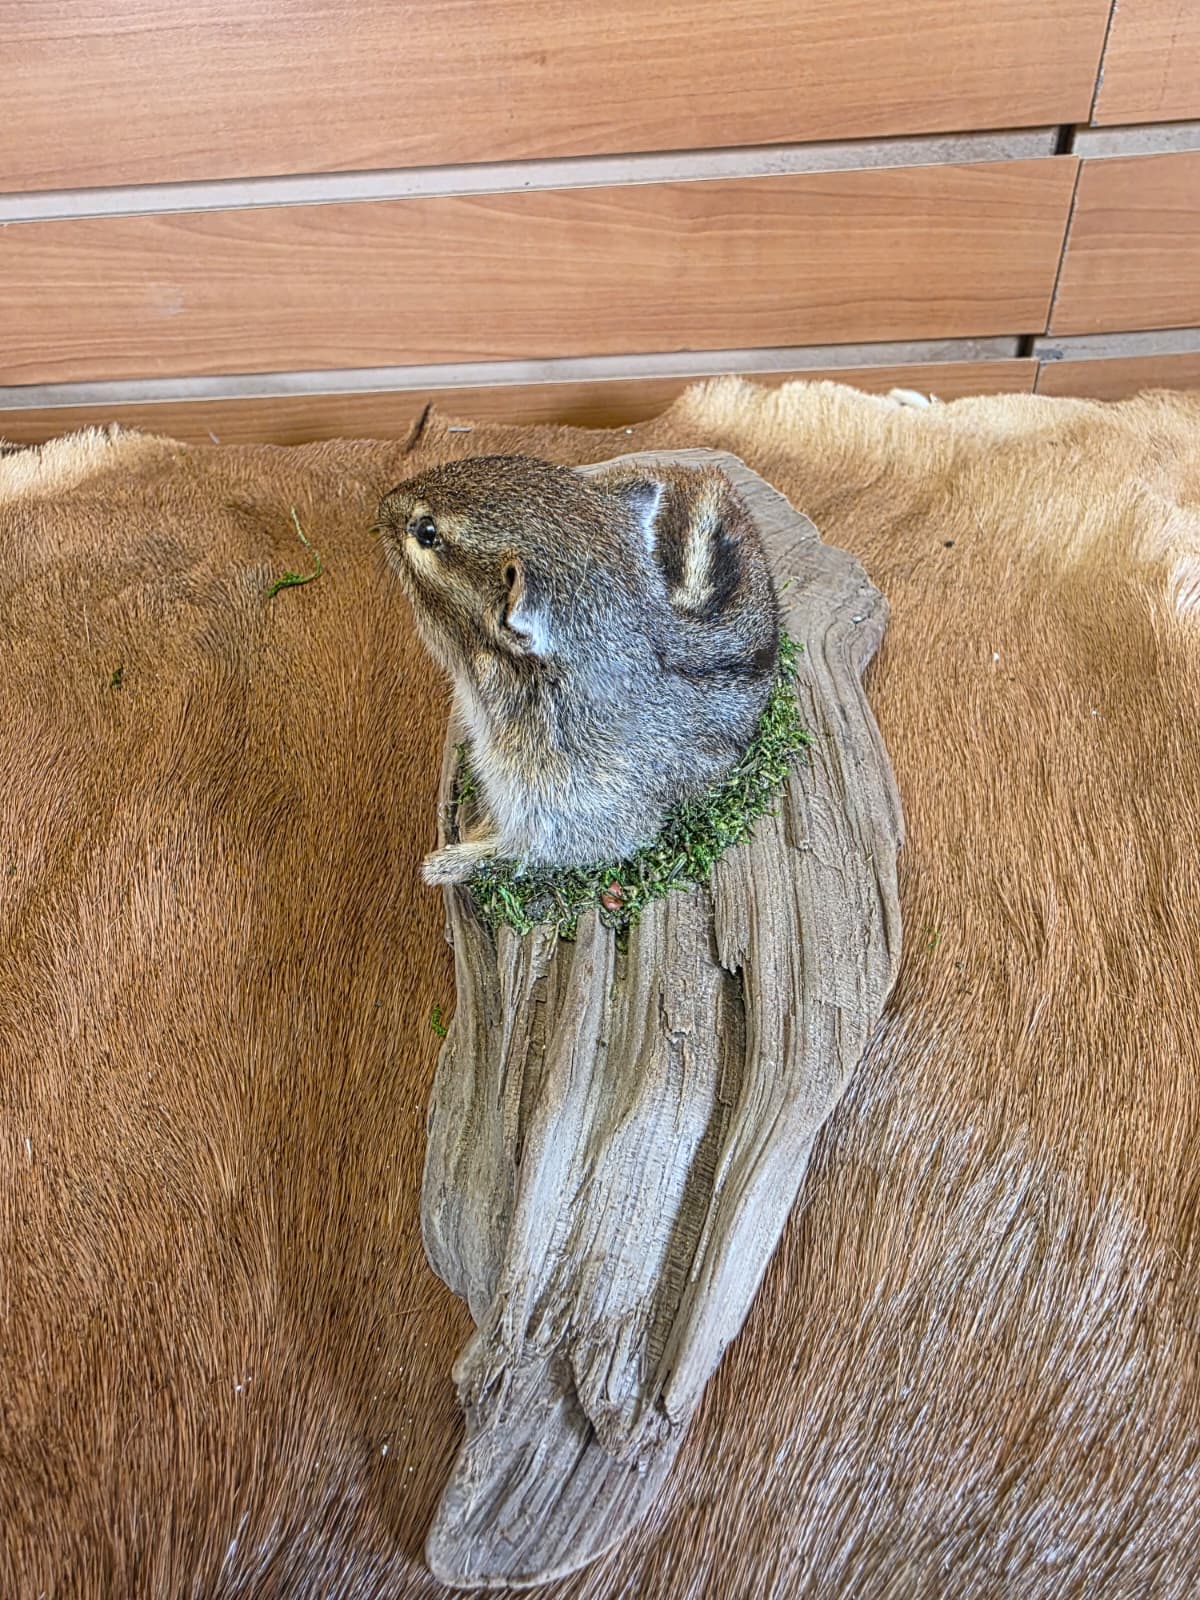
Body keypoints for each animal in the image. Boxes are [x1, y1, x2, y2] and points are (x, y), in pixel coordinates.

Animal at [377, 453, 781, 886]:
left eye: (427, 531)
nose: (384, 502)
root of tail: (712, 473)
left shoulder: (570, 816)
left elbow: (516, 851)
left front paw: (450, 861)